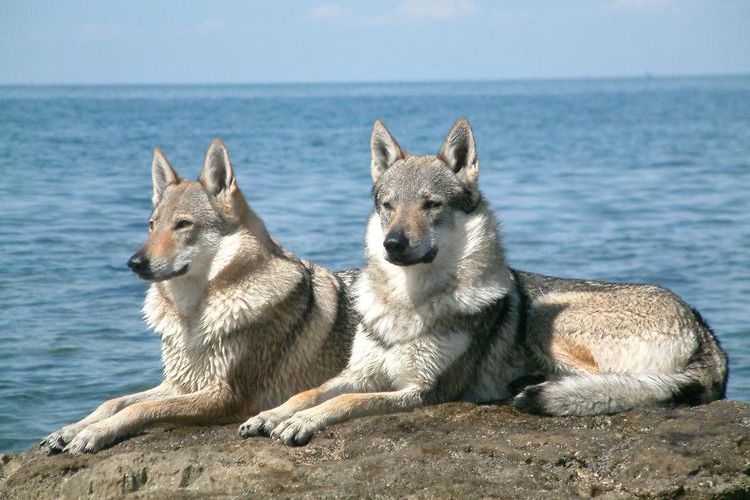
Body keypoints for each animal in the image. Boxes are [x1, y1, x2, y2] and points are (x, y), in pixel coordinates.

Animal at [40, 139, 358, 453]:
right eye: (152, 225)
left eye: (183, 224)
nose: (134, 262)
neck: (192, 316)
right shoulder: (181, 383)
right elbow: (114, 401)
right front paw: (69, 430)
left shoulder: (225, 395)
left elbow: (140, 408)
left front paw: (93, 433)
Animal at [239, 118, 728, 446]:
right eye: (387, 206)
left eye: (431, 205)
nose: (393, 244)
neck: (409, 303)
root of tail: (706, 331)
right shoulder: (359, 372)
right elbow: (311, 391)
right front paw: (272, 414)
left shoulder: (420, 391)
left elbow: (345, 403)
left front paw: (300, 422)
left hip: (546, 322)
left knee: (628, 385)